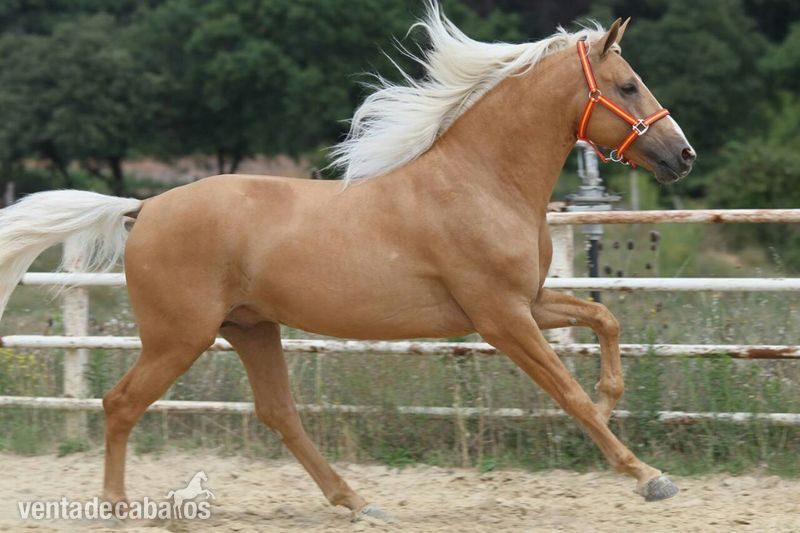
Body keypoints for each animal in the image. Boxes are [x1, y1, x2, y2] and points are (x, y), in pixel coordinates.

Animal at [0, 4, 694, 522]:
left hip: (250, 328)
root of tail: (143, 208)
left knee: (278, 414)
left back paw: (358, 501)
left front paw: (612, 402)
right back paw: (117, 506)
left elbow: (603, 323)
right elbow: (567, 392)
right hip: (179, 336)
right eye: (628, 85)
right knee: (120, 403)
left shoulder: (528, 302)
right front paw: (648, 476)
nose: (682, 155)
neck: (480, 182)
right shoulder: (501, 317)